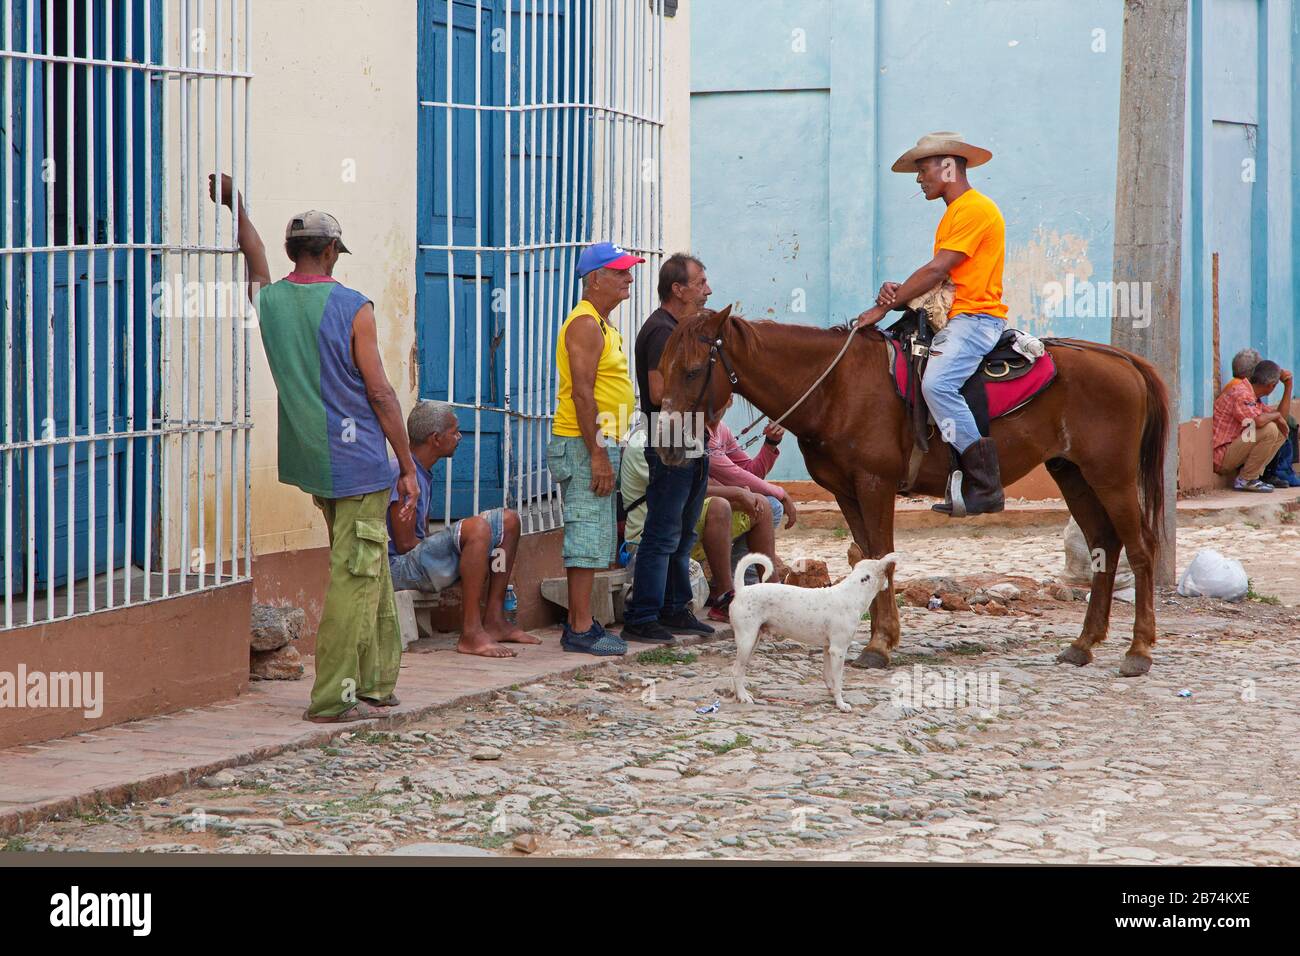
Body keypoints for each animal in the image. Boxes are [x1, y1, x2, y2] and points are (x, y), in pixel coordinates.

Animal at [660, 310, 1170, 676]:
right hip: (1073, 474)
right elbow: (867, 557)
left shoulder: (874, 485)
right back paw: (1084, 644)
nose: (666, 444)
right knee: (1104, 545)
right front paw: (880, 638)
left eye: (691, 371)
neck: (836, 388)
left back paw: (1139, 649)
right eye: (663, 367)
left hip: (1112, 477)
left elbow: (881, 556)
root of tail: (1121, 360)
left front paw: (878, 645)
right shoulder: (847, 492)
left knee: (1141, 549)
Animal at [728, 554, 899, 712]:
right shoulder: (838, 650)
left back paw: (739, 694)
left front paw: (831, 693)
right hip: (747, 641)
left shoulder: (828, 649)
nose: (889, 586)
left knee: (740, 670)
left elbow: (828, 675)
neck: (852, 593)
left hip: (753, 641)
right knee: (736, 670)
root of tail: (742, 590)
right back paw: (743, 696)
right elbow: (838, 680)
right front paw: (841, 704)